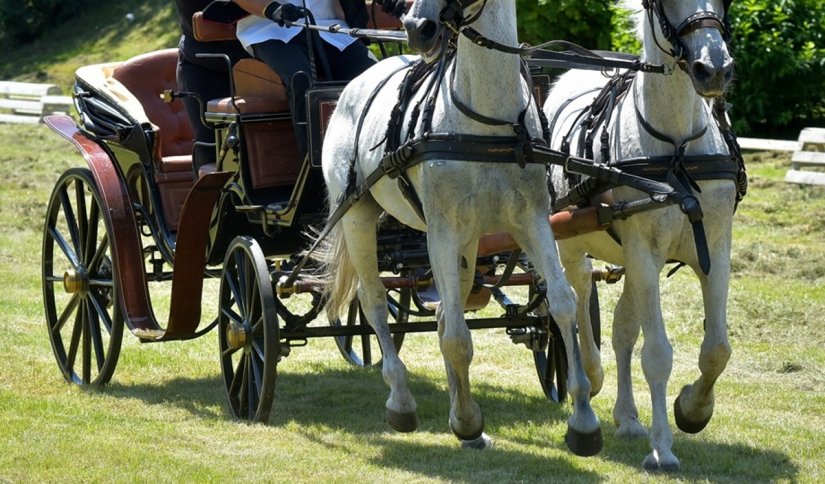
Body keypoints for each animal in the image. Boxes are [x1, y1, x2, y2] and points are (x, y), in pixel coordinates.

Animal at [320, 0, 600, 452]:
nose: (417, 27)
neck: (484, 122)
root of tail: (355, 85)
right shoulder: (442, 231)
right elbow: (456, 336)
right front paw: (468, 421)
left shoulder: (531, 221)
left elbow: (561, 303)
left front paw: (584, 420)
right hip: (359, 217)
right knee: (374, 300)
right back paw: (401, 400)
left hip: (468, 244)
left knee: (440, 313)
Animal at [544, 0, 736, 472]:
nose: (714, 69)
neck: (677, 146)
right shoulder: (644, 253)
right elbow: (658, 354)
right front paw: (662, 447)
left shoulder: (715, 249)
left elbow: (716, 349)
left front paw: (693, 408)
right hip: (570, 245)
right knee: (574, 305)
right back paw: (587, 383)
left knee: (621, 330)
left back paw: (627, 417)